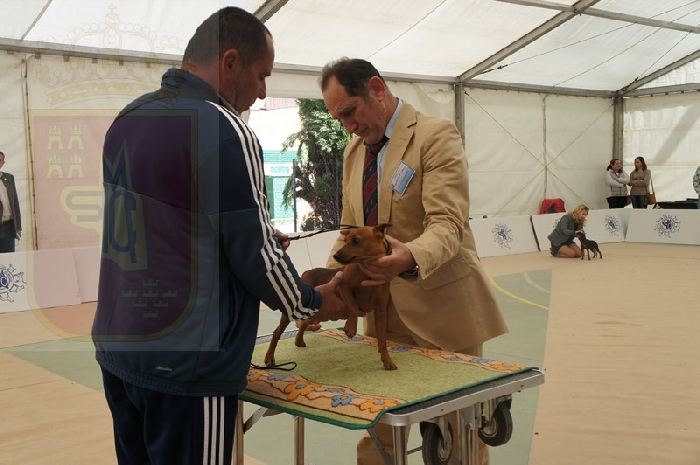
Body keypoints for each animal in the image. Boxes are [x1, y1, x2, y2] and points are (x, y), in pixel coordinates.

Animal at [264, 223, 397, 370]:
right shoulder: (343, 287)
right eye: (345, 240)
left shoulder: (381, 313)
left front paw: (387, 361)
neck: (366, 274)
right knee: (276, 333)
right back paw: (269, 358)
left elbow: (382, 340)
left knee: (304, 323)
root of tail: (306, 272)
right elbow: (353, 306)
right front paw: (351, 327)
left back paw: (299, 340)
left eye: (355, 240)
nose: (336, 255)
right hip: (291, 312)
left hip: (313, 313)